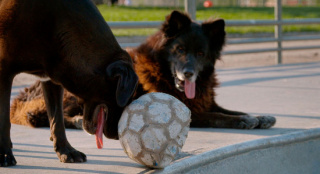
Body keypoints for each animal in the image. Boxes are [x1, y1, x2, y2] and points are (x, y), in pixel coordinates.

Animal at [0, 0, 138, 167]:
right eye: (130, 96)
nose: (118, 136)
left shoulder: (51, 78)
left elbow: (57, 120)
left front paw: (66, 150)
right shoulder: (3, 71)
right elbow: (3, 119)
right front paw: (4, 153)